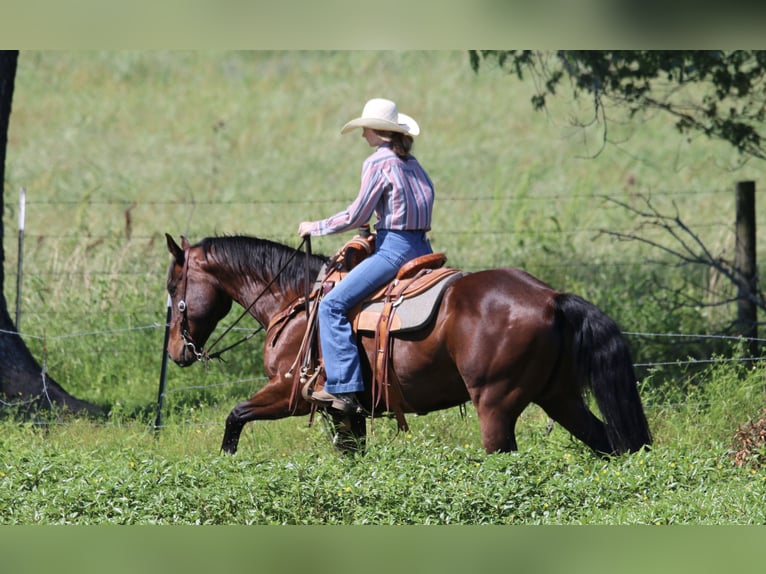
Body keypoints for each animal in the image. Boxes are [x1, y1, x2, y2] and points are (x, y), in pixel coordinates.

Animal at [165, 234, 652, 460]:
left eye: (173, 287)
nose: (176, 352)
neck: (295, 301)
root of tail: (551, 297)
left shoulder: (293, 394)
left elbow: (234, 417)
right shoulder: (343, 411)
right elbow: (350, 456)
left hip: (496, 405)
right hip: (560, 397)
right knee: (609, 442)